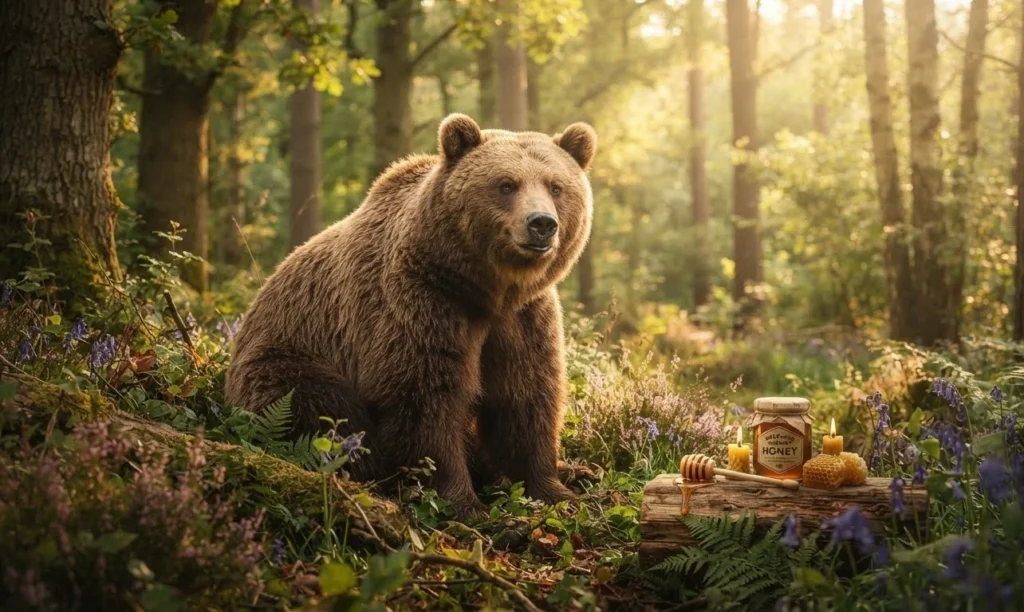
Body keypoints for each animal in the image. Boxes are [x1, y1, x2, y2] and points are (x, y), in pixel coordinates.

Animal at [224, 113, 597, 517]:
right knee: (320, 410)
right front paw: (463, 501)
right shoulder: (420, 304)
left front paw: (554, 490)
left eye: (556, 186)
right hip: (288, 358)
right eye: (506, 184)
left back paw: (581, 471)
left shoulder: (524, 320)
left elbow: (526, 398)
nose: (541, 223)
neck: (487, 290)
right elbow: (426, 400)